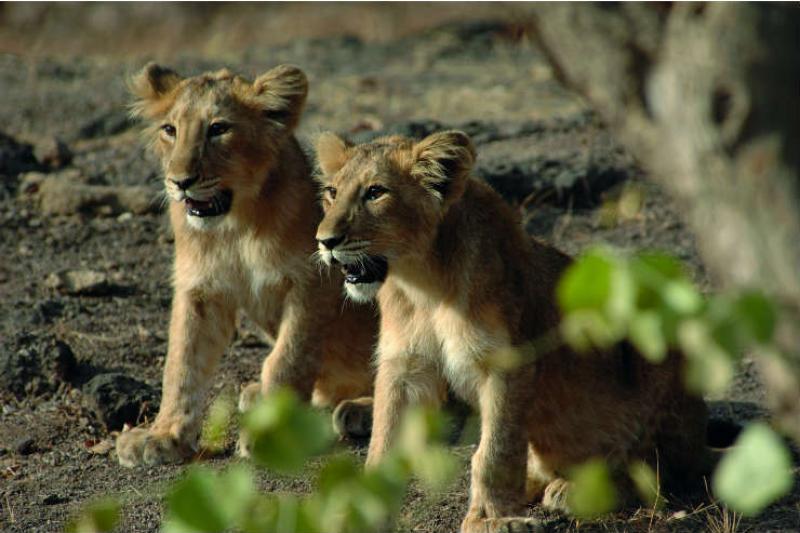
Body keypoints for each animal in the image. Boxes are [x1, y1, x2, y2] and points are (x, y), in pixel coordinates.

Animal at [115, 63, 376, 467]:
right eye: (170, 130)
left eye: (219, 128)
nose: (180, 181)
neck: (235, 227)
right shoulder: (200, 289)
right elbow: (181, 363)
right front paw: (163, 436)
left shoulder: (313, 283)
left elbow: (289, 359)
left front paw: (273, 434)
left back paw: (360, 409)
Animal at [314, 130, 715, 532]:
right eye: (332, 192)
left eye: (375, 192)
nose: (325, 241)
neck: (422, 284)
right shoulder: (404, 367)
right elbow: (383, 441)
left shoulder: (507, 364)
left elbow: (495, 452)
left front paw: (492, 520)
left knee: (660, 472)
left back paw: (574, 490)